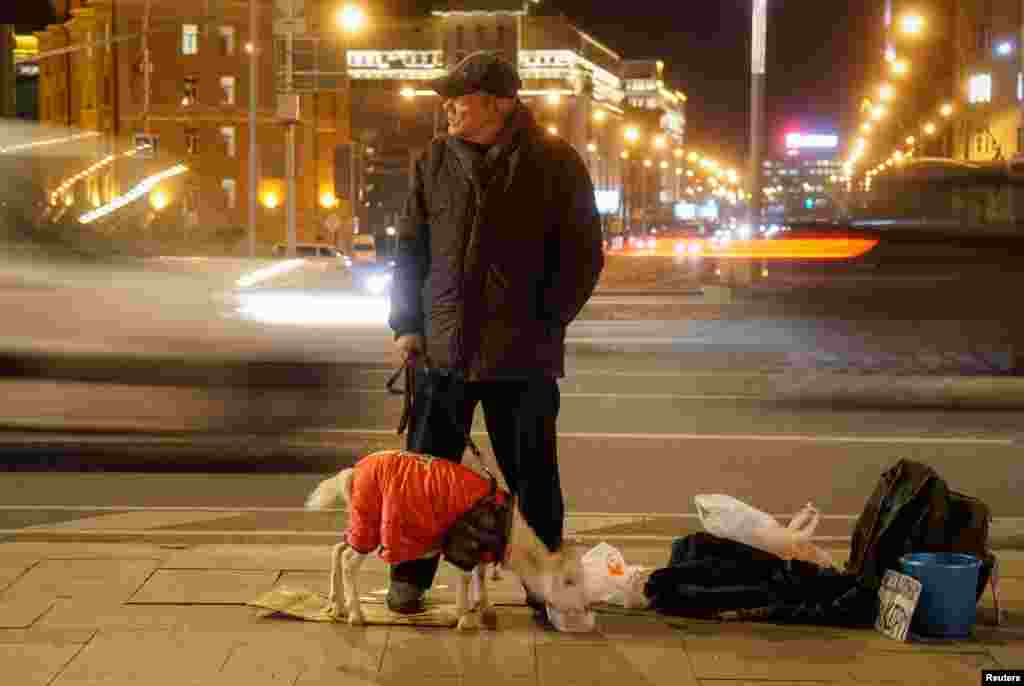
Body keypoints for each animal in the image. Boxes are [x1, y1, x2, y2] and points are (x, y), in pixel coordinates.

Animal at [303, 450, 589, 634]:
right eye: (569, 581)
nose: (584, 608)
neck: (510, 532)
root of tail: (352, 473)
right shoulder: (465, 540)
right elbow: (466, 576)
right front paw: (465, 618)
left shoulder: (481, 545)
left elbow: (480, 574)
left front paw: (485, 608)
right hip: (371, 519)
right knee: (349, 561)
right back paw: (356, 614)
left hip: (359, 520)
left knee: (338, 549)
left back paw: (337, 605)